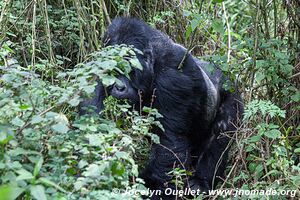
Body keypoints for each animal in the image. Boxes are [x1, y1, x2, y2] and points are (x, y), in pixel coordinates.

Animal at [79, 17, 244, 198]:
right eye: (114, 69)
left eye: (129, 67)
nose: (119, 87)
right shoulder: (99, 68)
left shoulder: (172, 79)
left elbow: (169, 146)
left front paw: (150, 189)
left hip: (232, 94)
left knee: (219, 136)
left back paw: (201, 182)